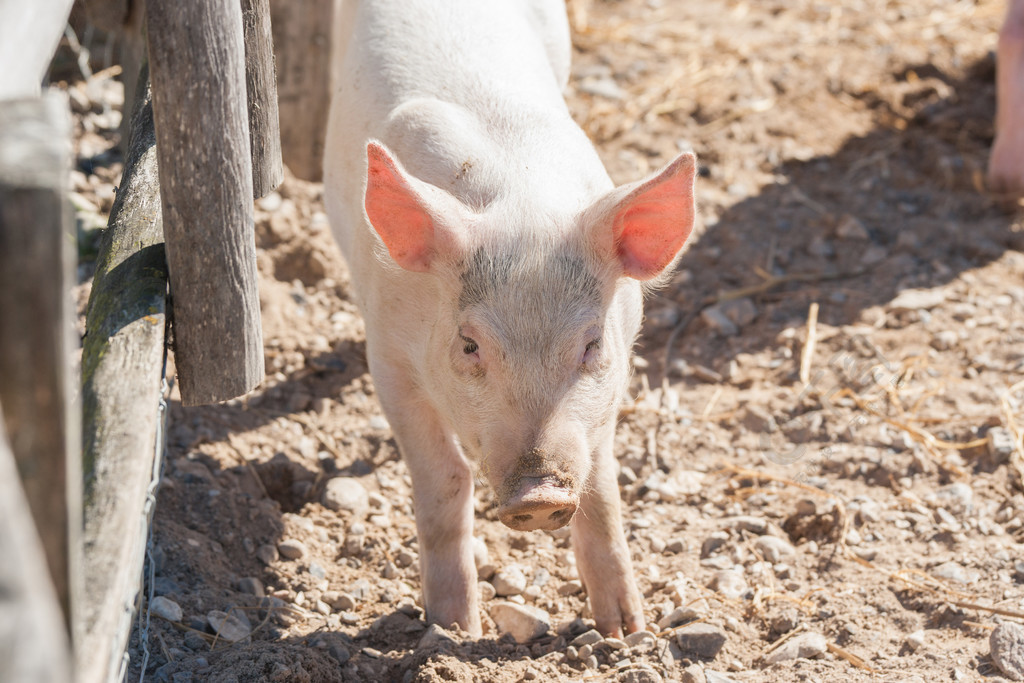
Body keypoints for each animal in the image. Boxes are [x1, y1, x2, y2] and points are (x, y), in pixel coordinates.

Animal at [323, 1, 700, 643]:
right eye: (470, 345)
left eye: (591, 345)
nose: (539, 492)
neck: (520, 202)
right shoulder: (388, 355)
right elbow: (445, 479)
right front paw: (454, 631)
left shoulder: (616, 377)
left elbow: (602, 489)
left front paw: (625, 630)